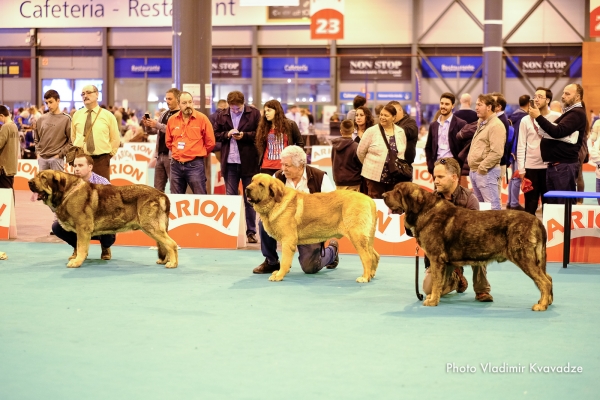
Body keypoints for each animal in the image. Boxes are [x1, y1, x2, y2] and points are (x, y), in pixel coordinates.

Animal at [28, 170, 178, 268]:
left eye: (43, 177)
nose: (29, 182)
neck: (67, 192)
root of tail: (162, 195)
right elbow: (79, 246)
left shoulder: (83, 229)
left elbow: (81, 248)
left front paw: (77, 262)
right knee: (165, 244)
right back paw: (165, 261)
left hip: (151, 227)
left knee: (171, 244)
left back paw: (172, 263)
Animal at [245, 173, 380, 282]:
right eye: (252, 180)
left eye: (261, 184)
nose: (246, 188)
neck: (275, 201)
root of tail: (370, 200)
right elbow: (285, 260)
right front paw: (280, 272)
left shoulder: (288, 240)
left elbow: (284, 261)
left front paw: (279, 275)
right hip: (366, 238)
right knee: (375, 255)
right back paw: (371, 275)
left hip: (356, 236)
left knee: (367, 257)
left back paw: (364, 277)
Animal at [384, 183, 552, 310]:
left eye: (398, 192)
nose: (384, 195)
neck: (424, 209)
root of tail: (537, 221)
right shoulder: (442, 262)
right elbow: (440, 282)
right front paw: (434, 296)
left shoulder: (436, 259)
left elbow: (437, 281)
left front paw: (432, 301)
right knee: (548, 277)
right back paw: (546, 301)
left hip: (523, 256)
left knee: (544, 281)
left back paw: (541, 305)